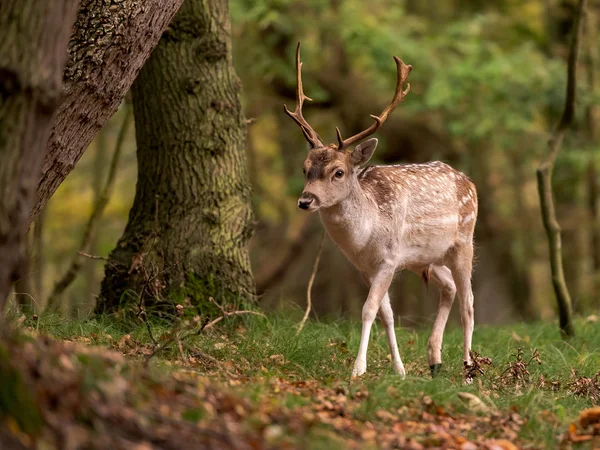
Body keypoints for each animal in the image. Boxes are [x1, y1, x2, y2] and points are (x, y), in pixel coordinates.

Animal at [284, 42, 478, 382]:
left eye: (338, 172)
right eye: (306, 169)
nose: (305, 200)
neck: (366, 235)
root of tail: (469, 182)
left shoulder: (388, 258)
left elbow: (368, 309)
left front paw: (357, 370)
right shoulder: (366, 266)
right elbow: (387, 314)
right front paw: (399, 369)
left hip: (464, 241)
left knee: (468, 303)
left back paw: (468, 371)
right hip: (427, 258)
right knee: (451, 289)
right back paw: (434, 360)